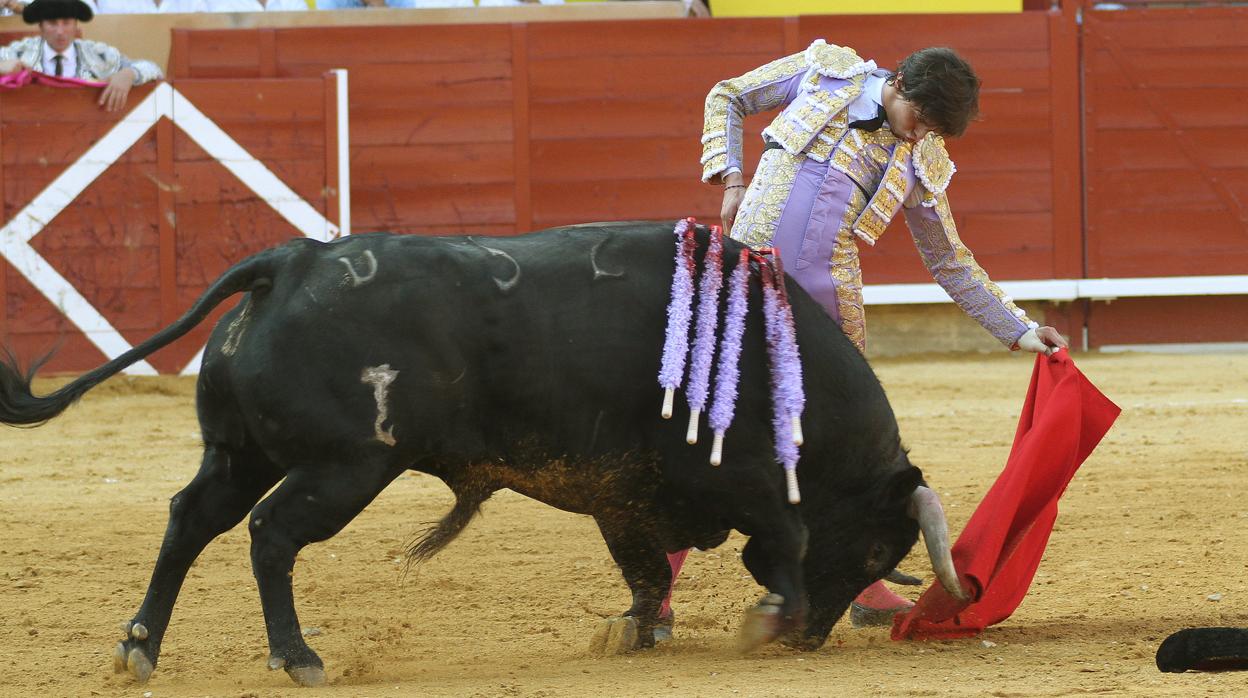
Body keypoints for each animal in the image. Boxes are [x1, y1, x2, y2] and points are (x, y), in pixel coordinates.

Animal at [0, 222, 963, 689]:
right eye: (877, 549)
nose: (814, 642)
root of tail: (292, 261)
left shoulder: (623, 493)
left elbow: (646, 568)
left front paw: (634, 631)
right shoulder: (742, 479)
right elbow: (786, 545)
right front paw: (767, 621)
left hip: (239, 454)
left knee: (189, 520)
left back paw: (138, 648)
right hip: (346, 466)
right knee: (270, 537)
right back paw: (298, 657)